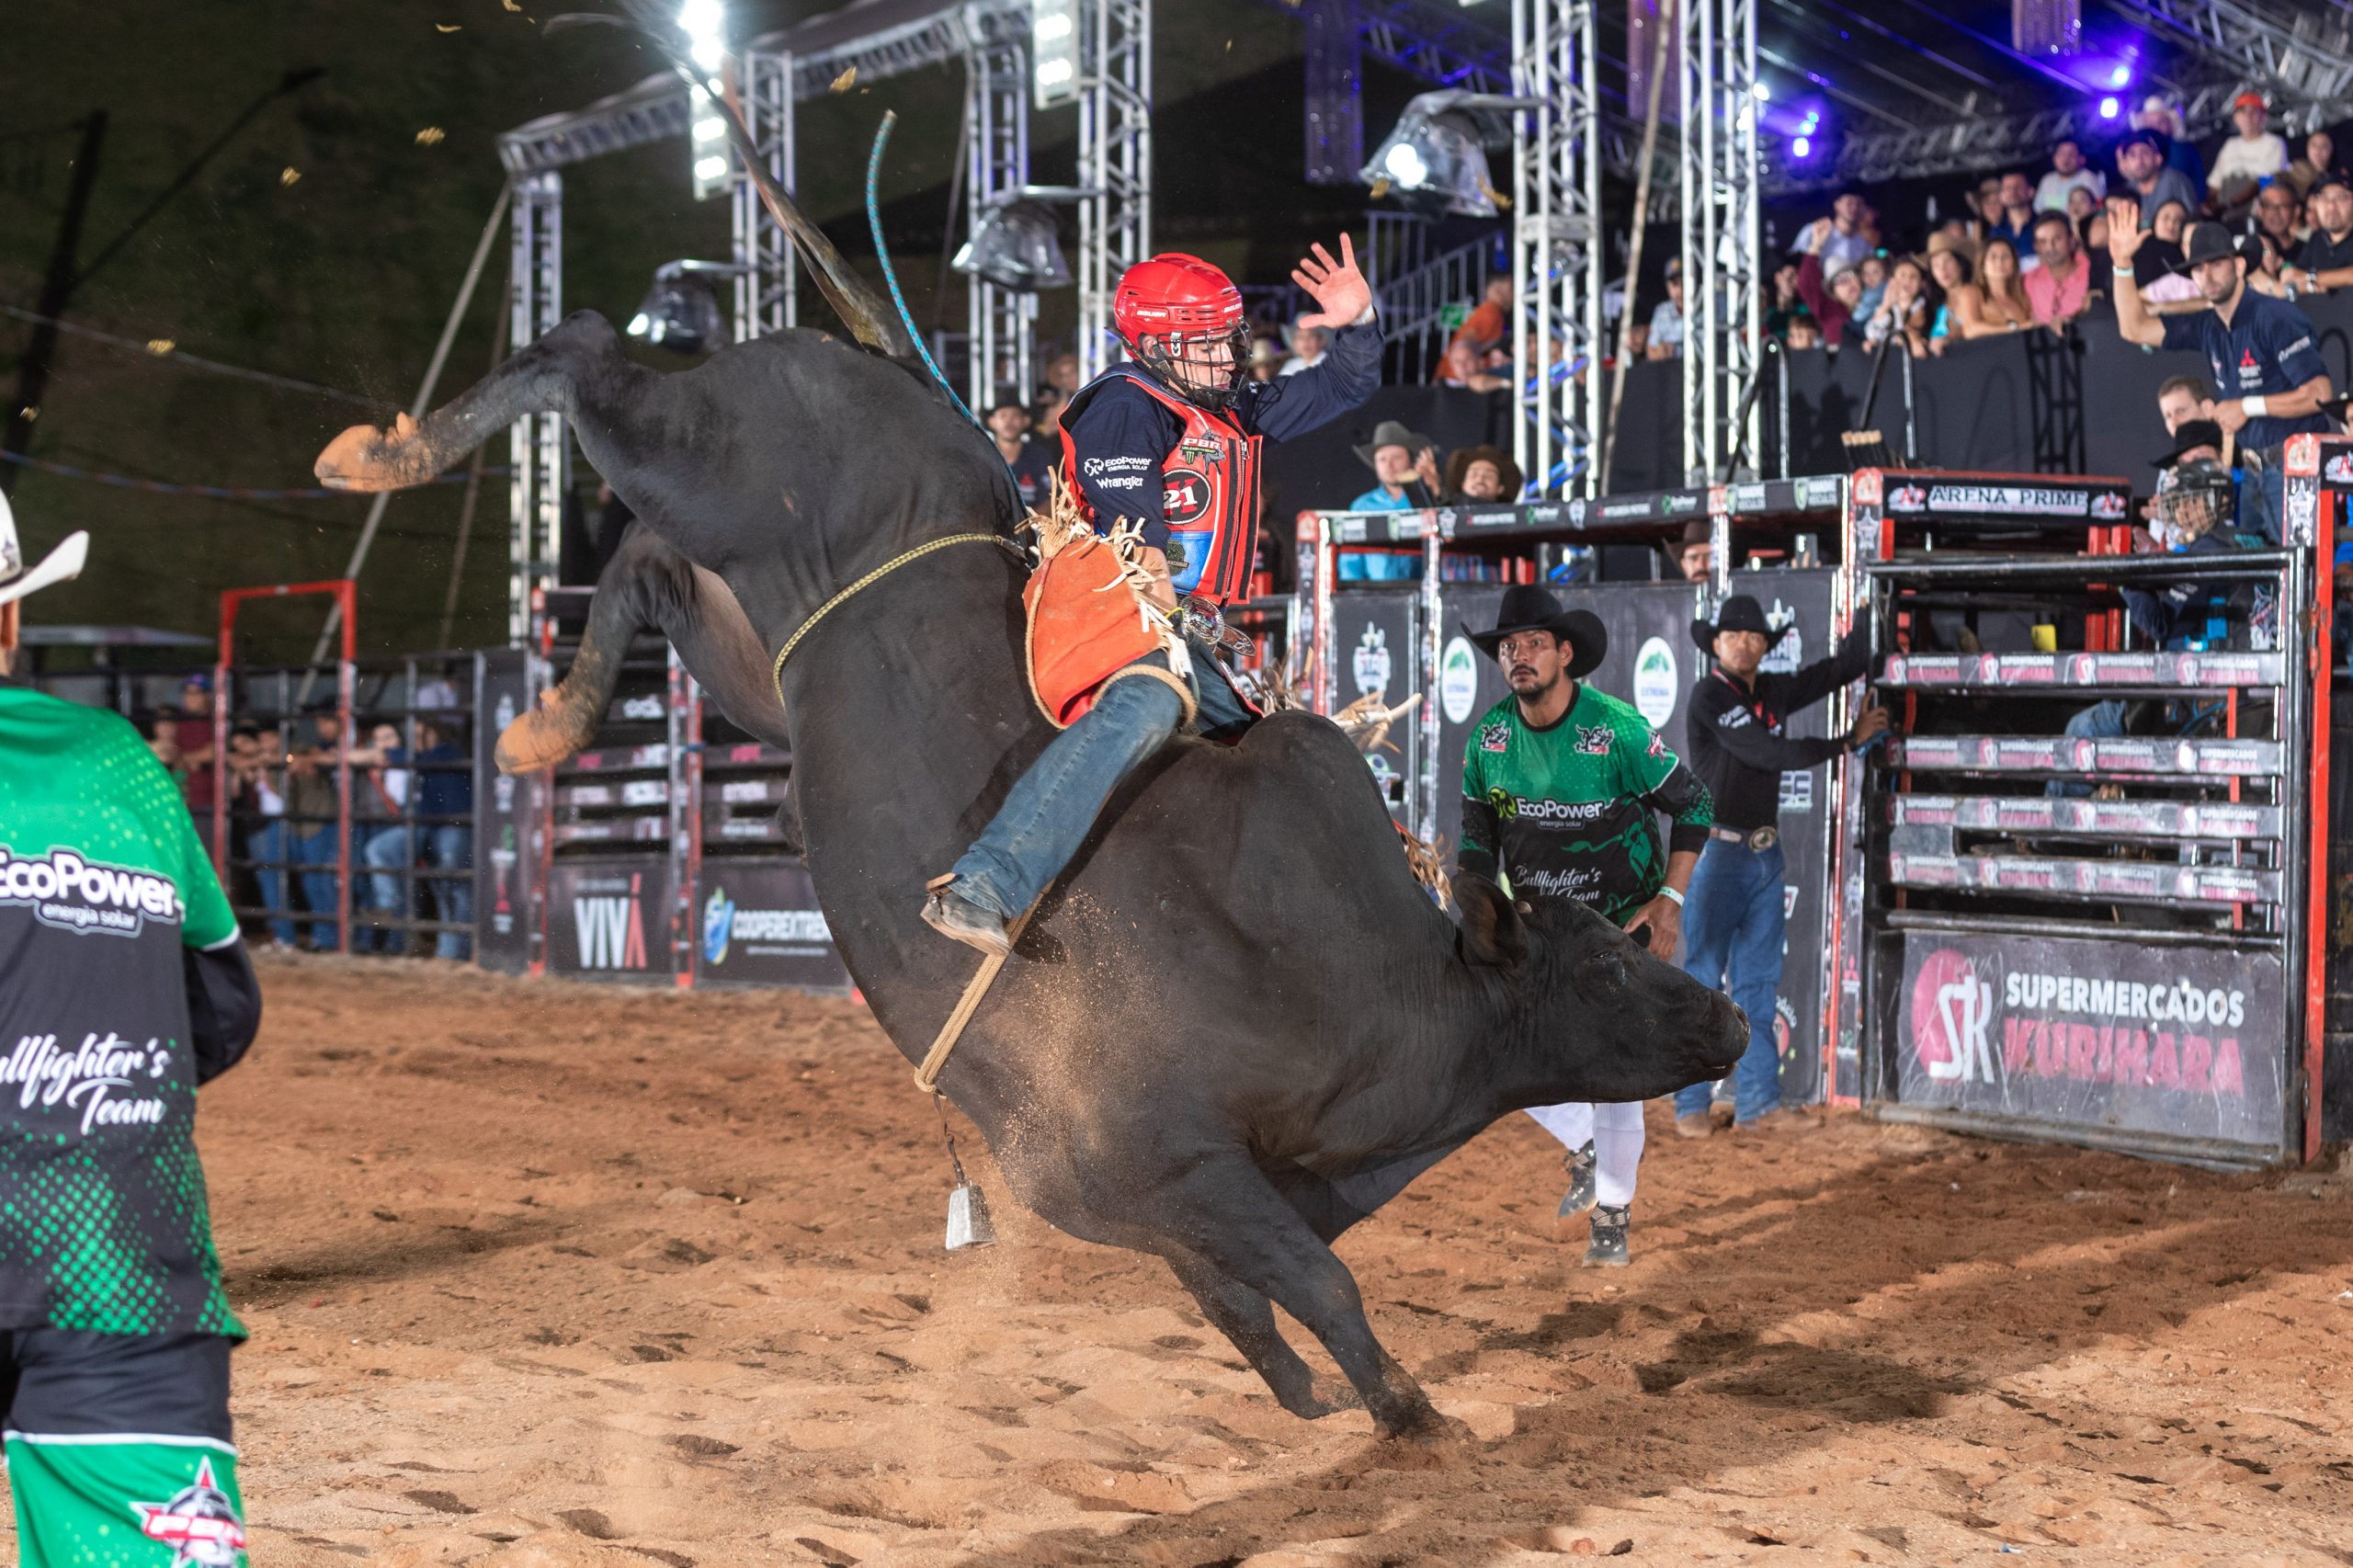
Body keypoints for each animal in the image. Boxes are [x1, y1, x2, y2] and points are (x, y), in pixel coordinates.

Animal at [313, 258, 1741, 1449]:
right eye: (1603, 964)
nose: (1726, 1017)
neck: (1381, 988)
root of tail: (860, 362)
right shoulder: (1178, 1165)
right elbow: (1320, 1282)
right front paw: (1410, 1415)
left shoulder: (1148, 1200)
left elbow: (1249, 1313)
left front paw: (1322, 1402)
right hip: (708, 462)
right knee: (587, 352)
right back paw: (378, 452)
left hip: (754, 644)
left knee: (644, 571)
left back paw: (543, 725)